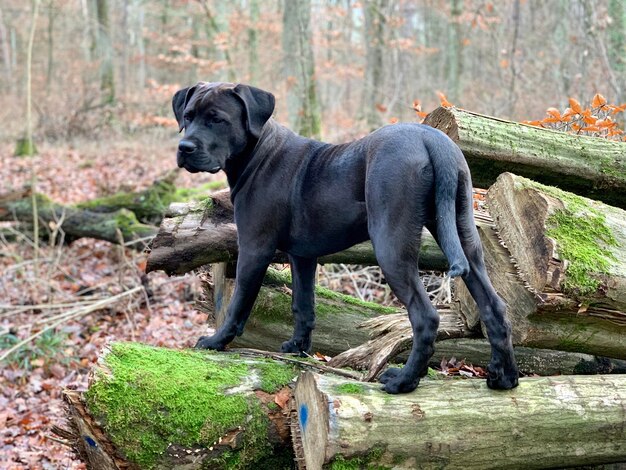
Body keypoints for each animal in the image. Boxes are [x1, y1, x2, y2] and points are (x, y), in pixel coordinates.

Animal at [171, 81, 516, 392]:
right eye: (187, 116)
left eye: (218, 119)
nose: (184, 148)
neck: (258, 154)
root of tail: (433, 141)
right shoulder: (303, 256)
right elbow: (303, 305)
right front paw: (298, 347)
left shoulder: (255, 247)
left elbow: (239, 302)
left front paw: (216, 341)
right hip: (463, 235)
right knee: (494, 307)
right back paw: (504, 378)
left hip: (392, 245)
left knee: (426, 316)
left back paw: (403, 381)